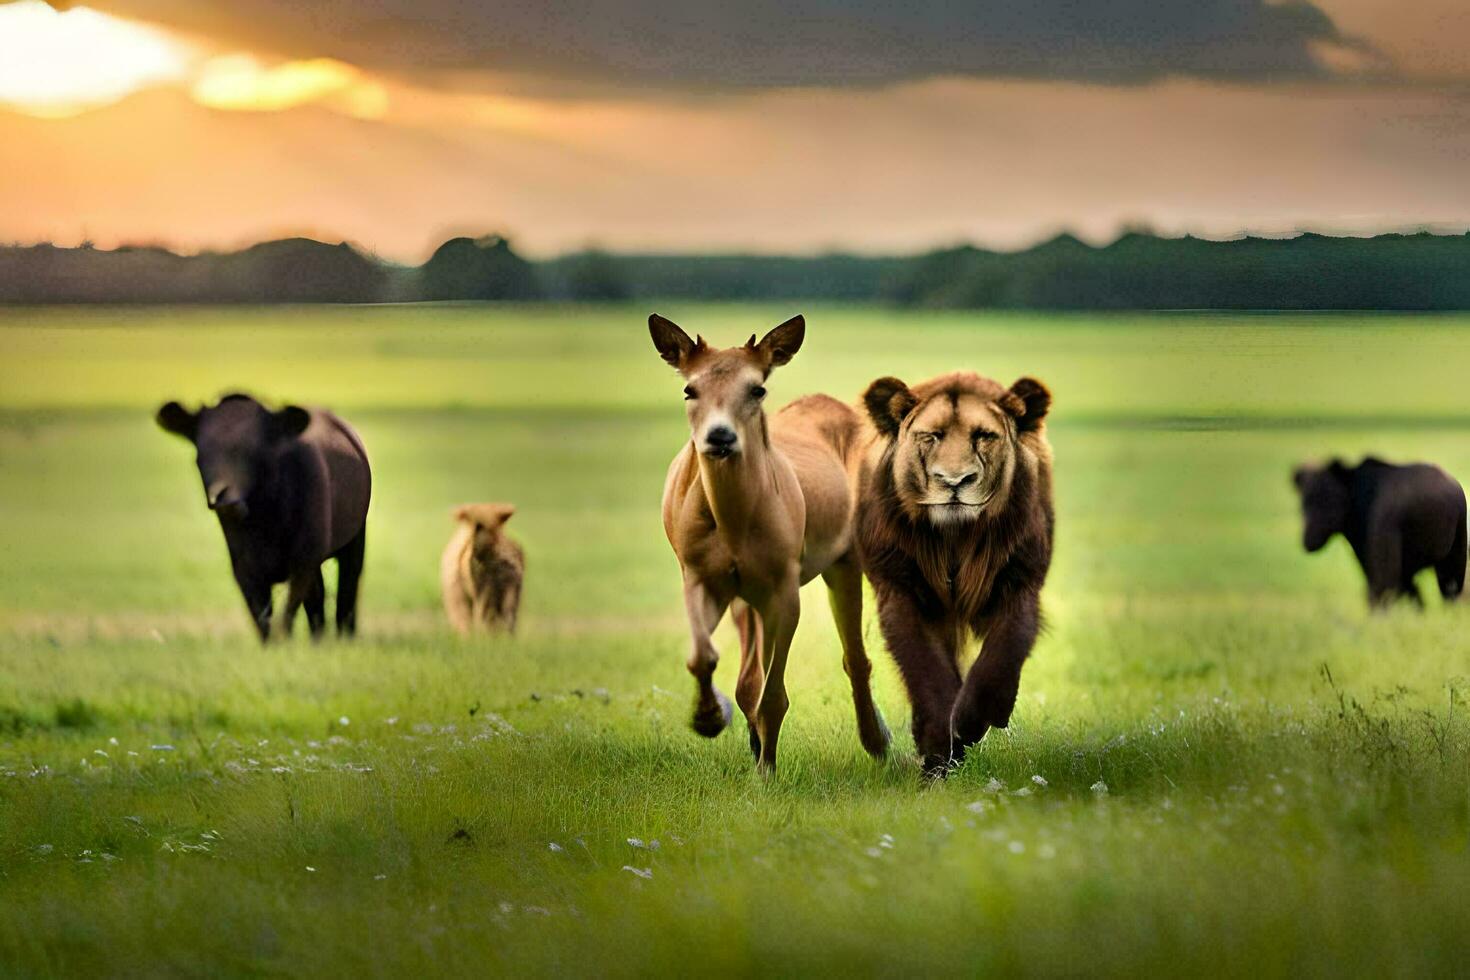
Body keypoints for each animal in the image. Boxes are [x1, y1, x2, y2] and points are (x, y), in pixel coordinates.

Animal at [155, 393, 370, 640]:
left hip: (354, 540)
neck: (265, 519)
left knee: (347, 590)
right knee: (318, 597)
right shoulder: (245, 568)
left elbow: (288, 613)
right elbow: (262, 618)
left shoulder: (304, 559)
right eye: (200, 455)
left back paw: (345, 637)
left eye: (256, 451)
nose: (225, 501)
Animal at [652, 314, 882, 775]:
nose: (720, 437)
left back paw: (877, 741)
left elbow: (775, 695)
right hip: (747, 594)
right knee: (749, 677)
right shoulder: (697, 573)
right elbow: (704, 657)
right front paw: (708, 717)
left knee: (855, 656)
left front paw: (767, 770)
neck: (733, 525)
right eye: (690, 389)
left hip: (845, 557)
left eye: (756, 388)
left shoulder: (783, 582)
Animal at [858, 371, 1052, 775]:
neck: (956, 538)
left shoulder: (1021, 581)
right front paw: (938, 749)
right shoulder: (902, 590)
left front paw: (973, 721)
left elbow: (1003, 652)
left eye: (984, 436)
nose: (954, 481)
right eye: (931, 436)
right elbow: (926, 669)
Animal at [1293, 458, 1464, 608]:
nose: (1307, 541)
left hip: (1455, 542)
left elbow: (1382, 588)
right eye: (1303, 504)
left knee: (1451, 584)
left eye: (1327, 501)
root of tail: (1455, 484)